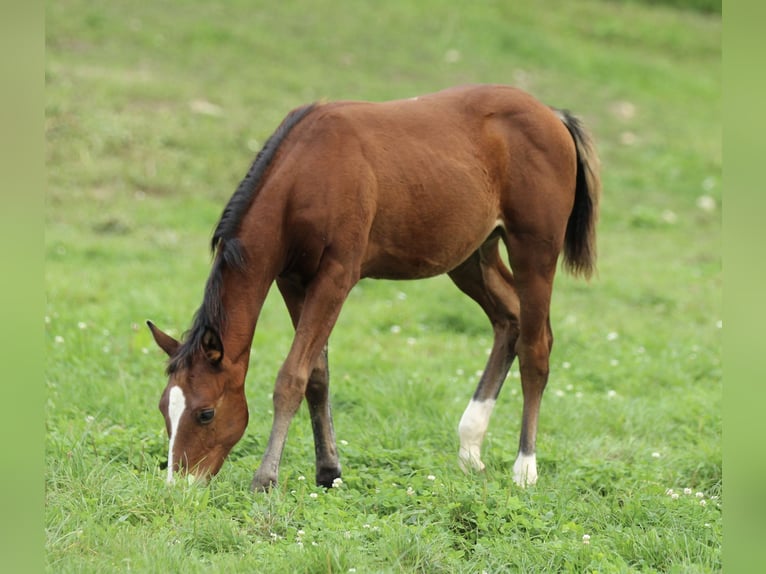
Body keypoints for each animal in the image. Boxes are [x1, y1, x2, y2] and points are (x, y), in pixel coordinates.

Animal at [147, 83, 600, 491]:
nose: (179, 483)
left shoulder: (337, 275)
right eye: (164, 408)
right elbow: (317, 376)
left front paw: (265, 478)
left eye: (205, 413)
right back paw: (470, 449)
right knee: (509, 320)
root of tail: (552, 115)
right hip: (473, 257)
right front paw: (328, 471)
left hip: (534, 251)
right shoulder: (292, 279)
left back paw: (525, 469)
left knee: (536, 347)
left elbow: (291, 376)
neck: (306, 173)